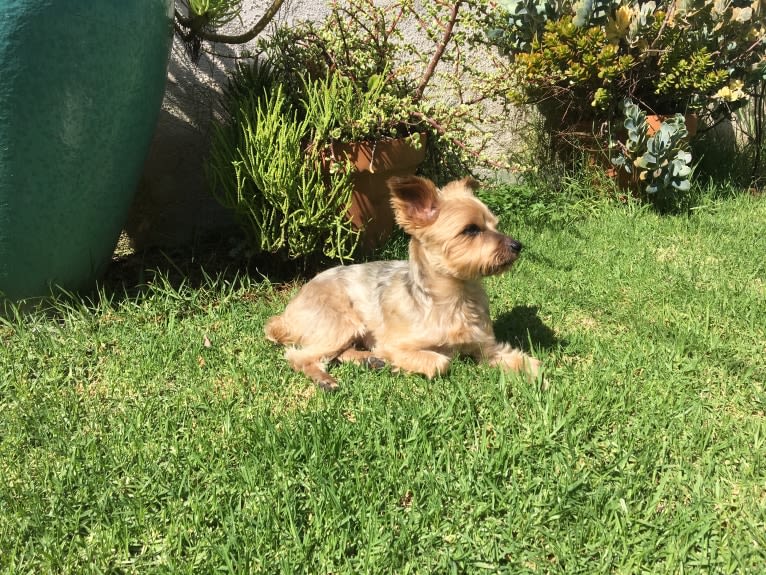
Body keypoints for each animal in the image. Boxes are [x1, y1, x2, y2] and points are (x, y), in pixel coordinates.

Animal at [268, 176, 544, 392]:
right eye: (471, 230)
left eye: (495, 225)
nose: (517, 246)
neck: (456, 296)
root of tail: (285, 315)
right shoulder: (395, 344)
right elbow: (440, 362)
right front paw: (403, 365)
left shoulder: (485, 346)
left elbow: (529, 363)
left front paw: (539, 377)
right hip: (340, 322)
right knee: (299, 355)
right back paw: (326, 378)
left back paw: (368, 360)